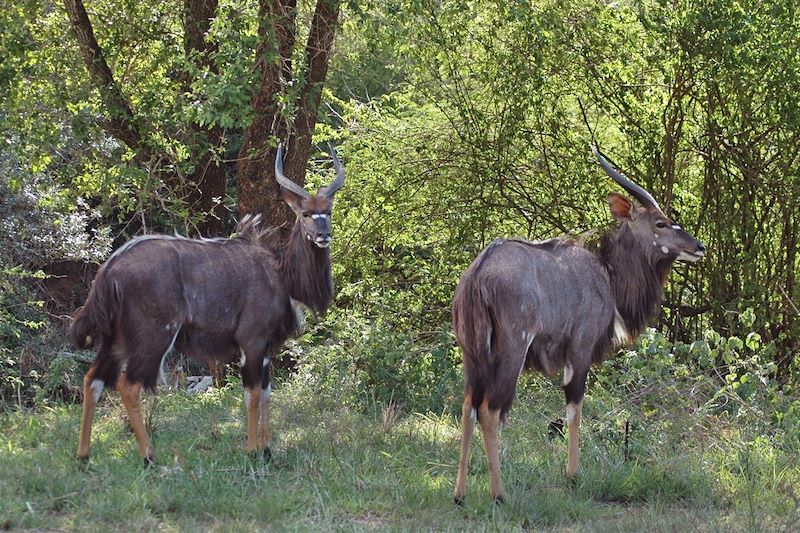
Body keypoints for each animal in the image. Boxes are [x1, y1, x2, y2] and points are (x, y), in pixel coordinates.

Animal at [69, 141, 344, 462]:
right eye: (305, 214)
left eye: (328, 210)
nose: (323, 236)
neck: (280, 273)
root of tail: (108, 271)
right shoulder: (251, 339)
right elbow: (252, 394)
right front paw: (252, 450)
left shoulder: (263, 345)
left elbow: (266, 392)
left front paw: (267, 449)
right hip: (155, 335)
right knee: (128, 384)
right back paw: (149, 457)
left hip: (117, 339)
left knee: (92, 379)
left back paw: (83, 455)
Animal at [454, 145, 704, 502]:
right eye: (661, 222)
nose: (699, 247)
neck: (605, 271)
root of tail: (477, 275)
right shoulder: (580, 348)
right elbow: (575, 406)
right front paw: (573, 476)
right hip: (512, 351)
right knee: (490, 409)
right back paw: (499, 495)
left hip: (473, 356)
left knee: (468, 406)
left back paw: (460, 495)